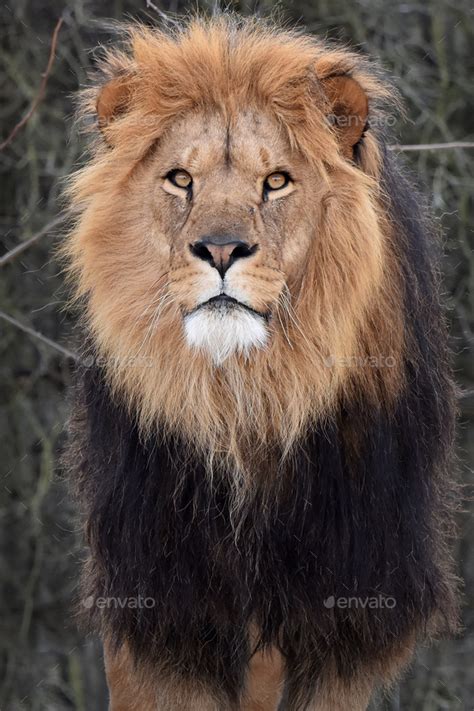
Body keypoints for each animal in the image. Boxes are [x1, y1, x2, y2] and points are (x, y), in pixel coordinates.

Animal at [64, 12, 460, 711]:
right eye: (181, 179)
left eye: (275, 181)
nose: (221, 249)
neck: (248, 403)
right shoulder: (161, 621)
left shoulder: (339, 626)